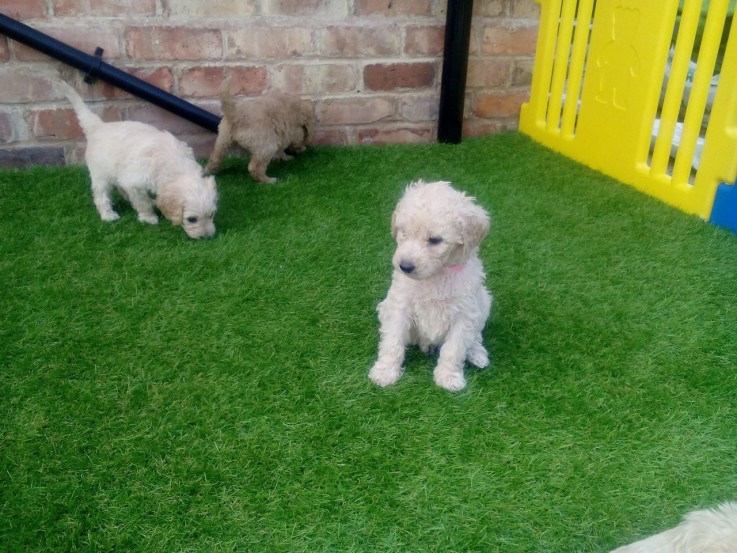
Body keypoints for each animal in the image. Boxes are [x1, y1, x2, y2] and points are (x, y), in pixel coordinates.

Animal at [59, 79, 217, 237]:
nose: (207, 237)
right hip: (100, 175)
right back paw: (108, 215)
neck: (175, 166)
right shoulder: (135, 182)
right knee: (101, 195)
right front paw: (148, 217)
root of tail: (98, 126)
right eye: (192, 219)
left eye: (212, 215)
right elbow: (142, 202)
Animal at [368, 179, 494, 390]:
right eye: (403, 233)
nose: (405, 266)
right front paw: (385, 371)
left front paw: (448, 377)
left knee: (475, 336)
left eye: (435, 240)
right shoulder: (399, 306)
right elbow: (392, 341)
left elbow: (454, 348)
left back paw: (477, 354)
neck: (436, 275)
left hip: (483, 301)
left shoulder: (464, 314)